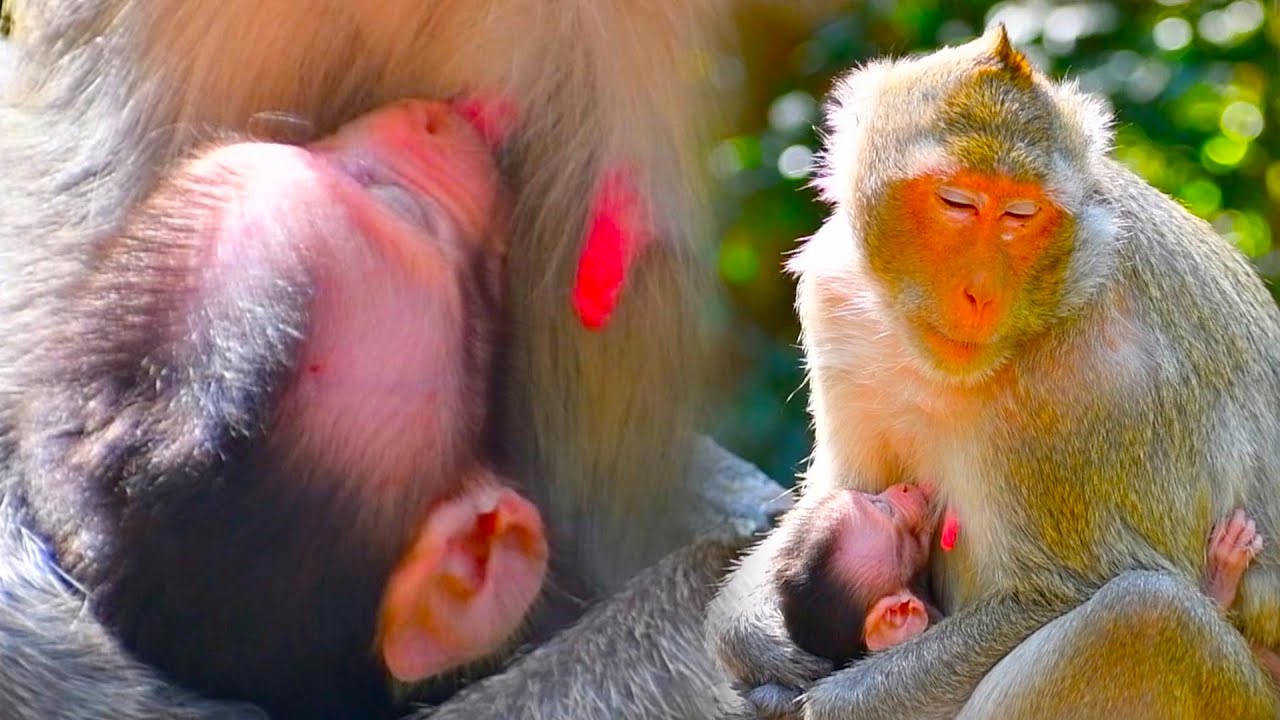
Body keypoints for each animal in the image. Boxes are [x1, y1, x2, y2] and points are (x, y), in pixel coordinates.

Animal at [706, 25, 1280, 719]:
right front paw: (752, 637)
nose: (980, 293)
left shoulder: (1097, 376)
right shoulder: (836, 295)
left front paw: (819, 704)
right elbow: (835, 492)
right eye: (957, 202)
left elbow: (1053, 595)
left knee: (1145, 617)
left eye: (1020, 215)